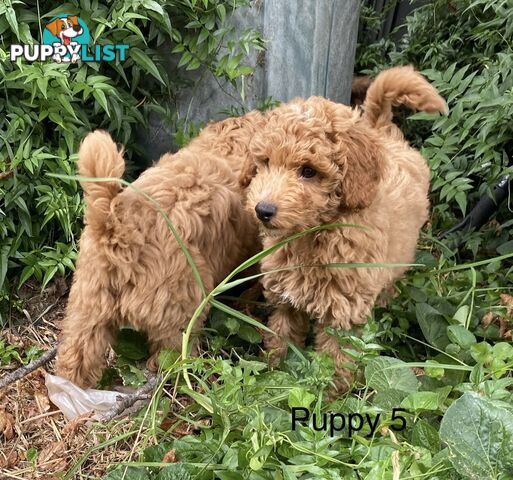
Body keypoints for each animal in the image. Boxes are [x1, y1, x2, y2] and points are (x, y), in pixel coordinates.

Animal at [57, 111, 264, 386]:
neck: (226, 146)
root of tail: (118, 228)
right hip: (180, 308)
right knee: (168, 357)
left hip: (88, 305)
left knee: (77, 354)